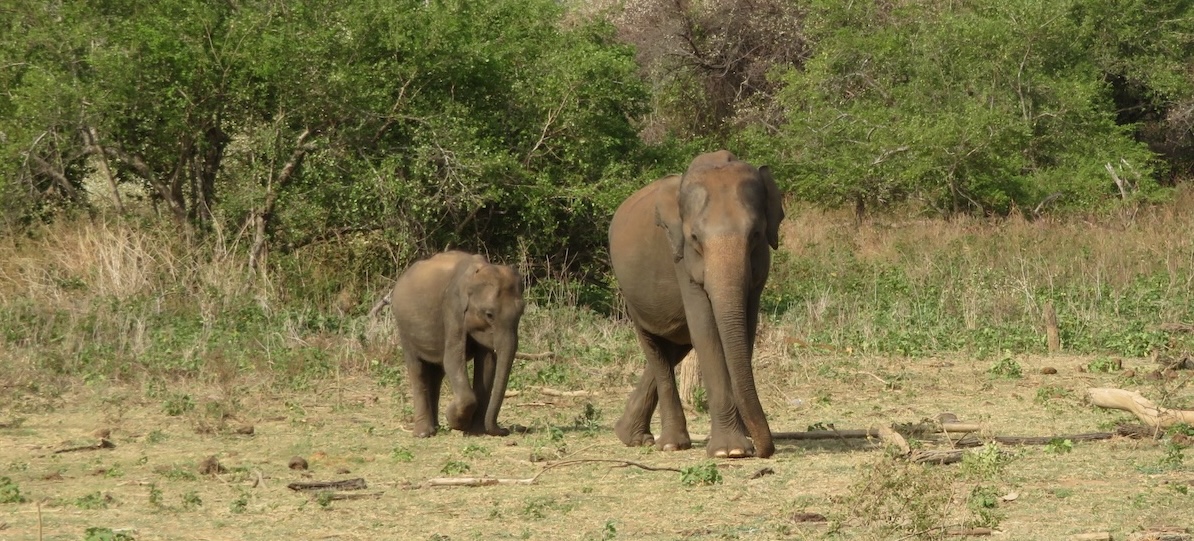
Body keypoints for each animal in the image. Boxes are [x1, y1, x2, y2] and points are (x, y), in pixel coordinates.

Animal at [391, 250, 527, 437]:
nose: (504, 430)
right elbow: (453, 360)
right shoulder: (452, 308)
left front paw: (476, 430)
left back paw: (436, 427)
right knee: (417, 369)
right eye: (489, 314)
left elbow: (487, 365)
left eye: (522, 312)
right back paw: (424, 433)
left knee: (437, 373)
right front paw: (456, 422)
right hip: (404, 328)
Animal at [606, 149, 783, 458]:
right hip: (631, 298)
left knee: (674, 347)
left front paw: (740, 444)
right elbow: (706, 331)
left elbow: (744, 329)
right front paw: (730, 451)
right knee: (655, 350)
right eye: (695, 238)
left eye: (756, 235)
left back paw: (629, 435)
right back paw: (669, 444)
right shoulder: (681, 260)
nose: (765, 450)